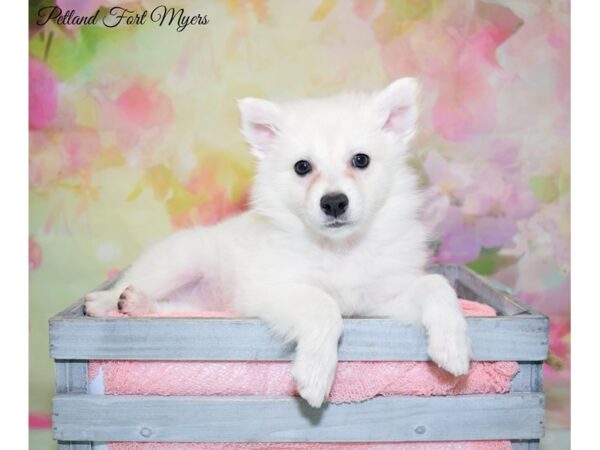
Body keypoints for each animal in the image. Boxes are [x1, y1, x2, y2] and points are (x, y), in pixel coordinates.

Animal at [84, 77, 472, 408]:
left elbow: (436, 286)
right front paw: (315, 375)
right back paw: (107, 301)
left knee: (177, 310)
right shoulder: (270, 290)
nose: (334, 203)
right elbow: (323, 306)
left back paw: (139, 305)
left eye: (361, 160)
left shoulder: (381, 302)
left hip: (206, 306)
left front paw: (453, 345)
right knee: (135, 283)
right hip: (179, 261)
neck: (339, 249)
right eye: (302, 167)